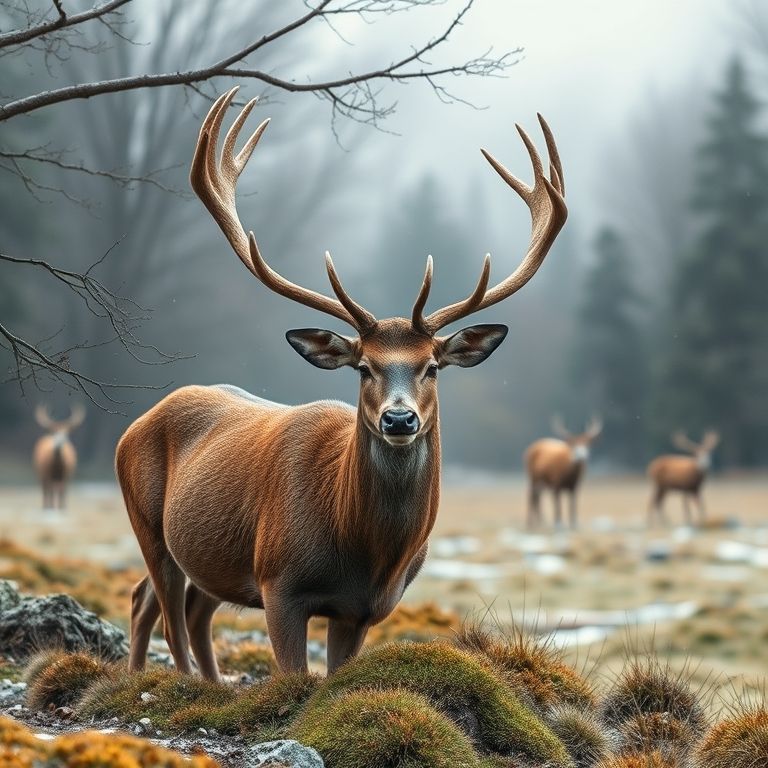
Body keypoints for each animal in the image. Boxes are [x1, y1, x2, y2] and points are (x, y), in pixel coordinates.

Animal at [115, 87, 567, 680]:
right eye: (364, 366)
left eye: (432, 366)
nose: (399, 418)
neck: (365, 553)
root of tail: (134, 425)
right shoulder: (278, 581)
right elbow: (292, 675)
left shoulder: (365, 610)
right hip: (148, 521)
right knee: (165, 613)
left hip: (207, 553)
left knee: (174, 608)